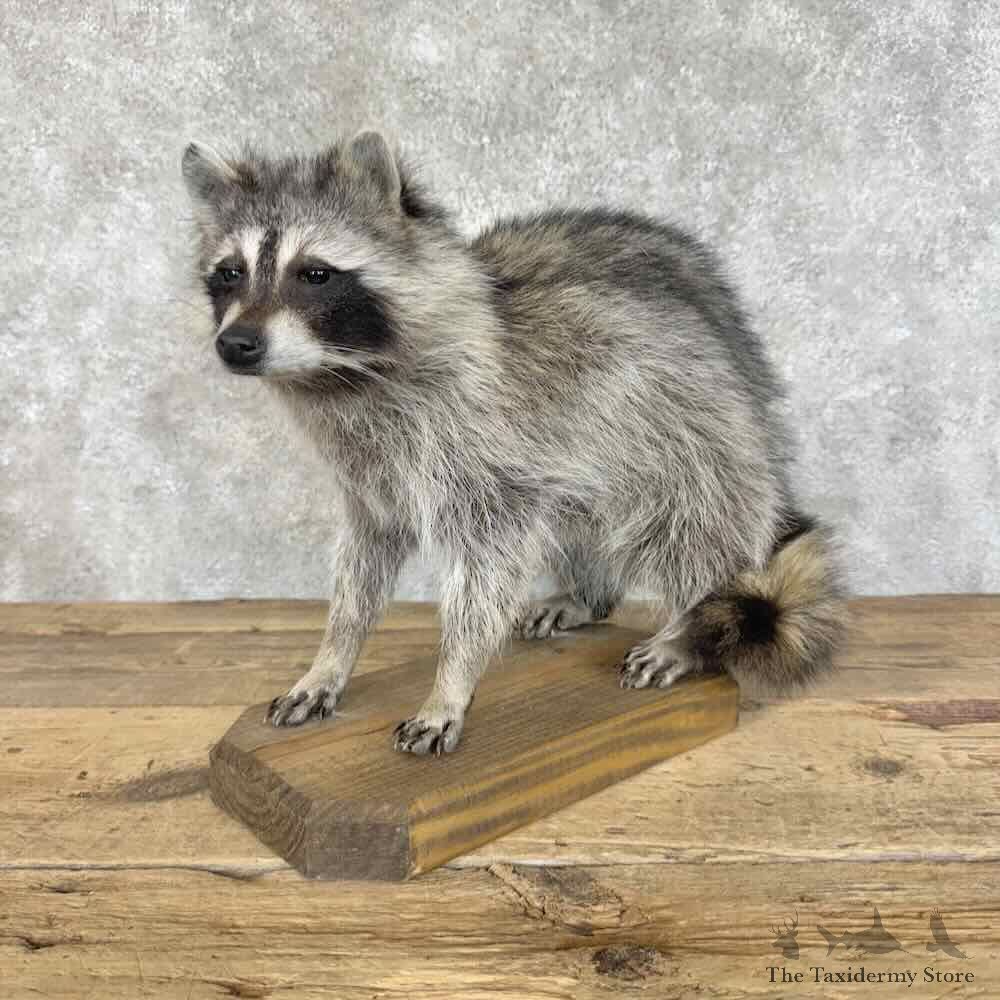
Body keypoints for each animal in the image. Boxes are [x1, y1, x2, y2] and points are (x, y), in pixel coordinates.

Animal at [181, 130, 845, 755]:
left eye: (315, 273)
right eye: (231, 272)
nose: (236, 344)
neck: (344, 374)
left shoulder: (488, 448)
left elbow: (486, 574)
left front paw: (451, 682)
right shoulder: (370, 470)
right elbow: (362, 565)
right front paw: (331, 656)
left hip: (690, 425)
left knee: (691, 527)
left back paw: (689, 622)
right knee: (585, 517)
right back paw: (592, 594)